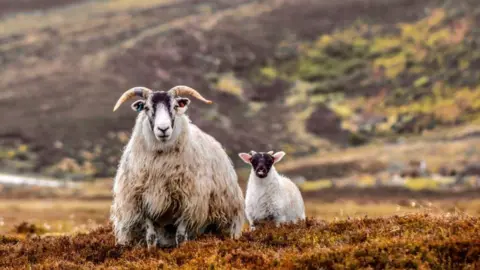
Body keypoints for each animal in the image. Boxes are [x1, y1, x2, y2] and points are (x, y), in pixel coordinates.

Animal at [109, 85, 244, 248]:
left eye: (174, 106)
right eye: (146, 108)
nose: (163, 129)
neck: (160, 160)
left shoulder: (188, 202)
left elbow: (180, 235)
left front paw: (182, 249)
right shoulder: (141, 202)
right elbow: (151, 236)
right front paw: (150, 251)